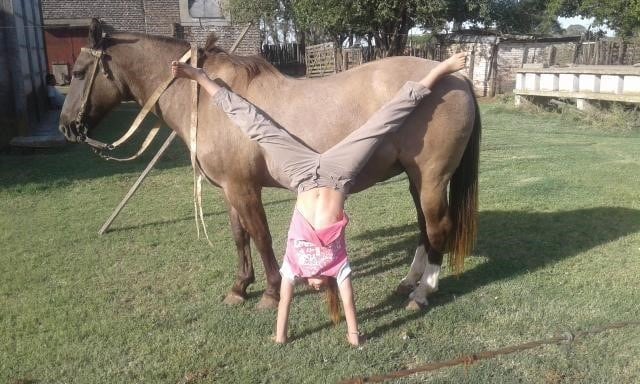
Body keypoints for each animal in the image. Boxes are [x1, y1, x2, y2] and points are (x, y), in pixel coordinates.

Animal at [60, 18, 480, 312]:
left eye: (78, 73)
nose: (67, 127)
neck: (211, 99)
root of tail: (458, 78)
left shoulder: (245, 189)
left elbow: (260, 237)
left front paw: (271, 293)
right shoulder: (230, 189)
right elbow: (239, 237)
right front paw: (239, 288)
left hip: (430, 178)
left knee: (438, 228)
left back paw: (422, 293)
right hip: (415, 179)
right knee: (425, 229)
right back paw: (409, 282)